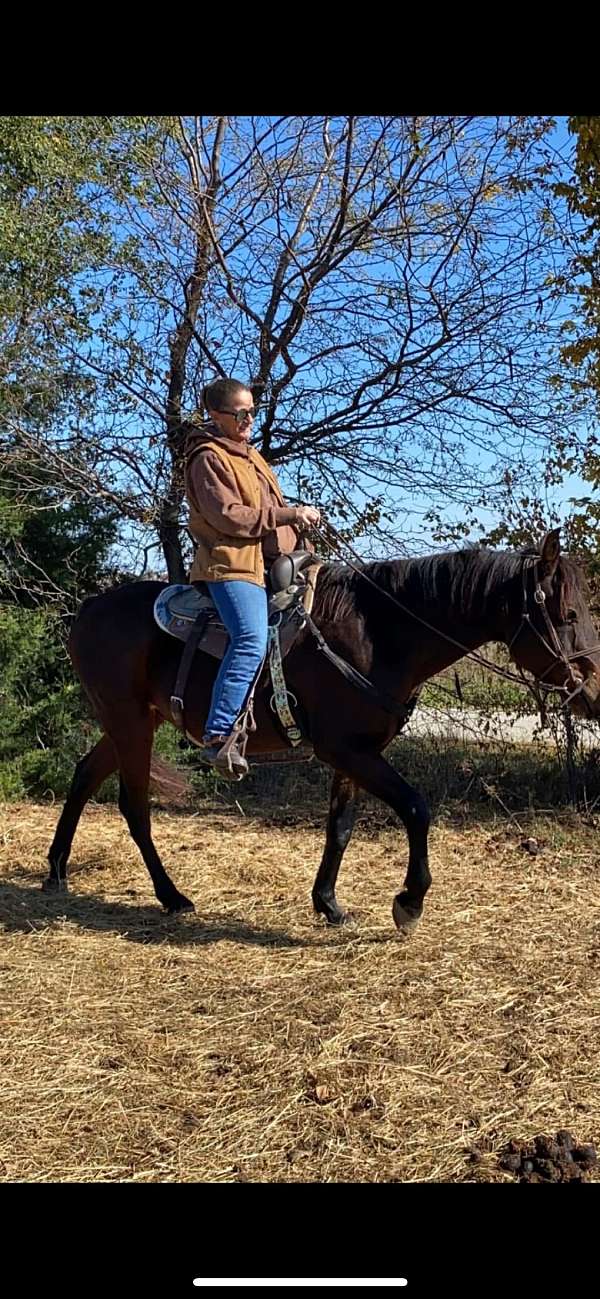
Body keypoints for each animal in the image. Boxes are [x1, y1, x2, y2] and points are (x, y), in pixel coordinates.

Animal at [44, 529, 600, 933]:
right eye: (568, 614)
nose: (593, 693)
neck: (377, 634)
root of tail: (88, 610)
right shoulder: (346, 750)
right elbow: (416, 808)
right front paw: (409, 902)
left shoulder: (356, 753)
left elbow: (340, 827)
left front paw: (328, 903)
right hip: (130, 722)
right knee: (134, 806)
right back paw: (171, 896)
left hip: (132, 721)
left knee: (84, 774)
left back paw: (56, 871)